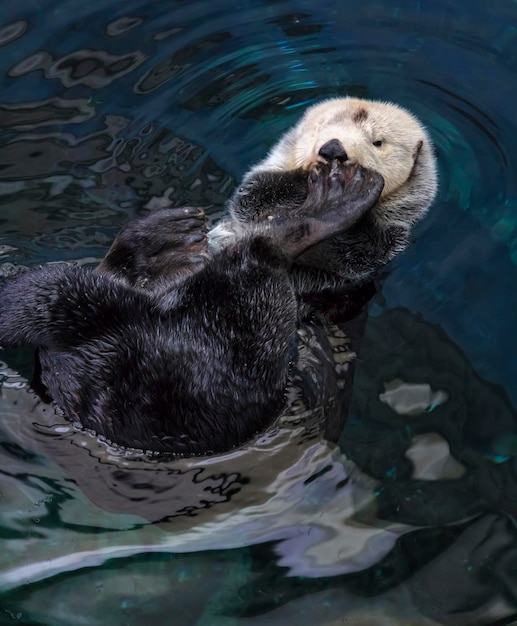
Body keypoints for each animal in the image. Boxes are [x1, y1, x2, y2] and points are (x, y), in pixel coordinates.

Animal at [0, 95, 436, 450]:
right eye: (321, 130)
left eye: (378, 142)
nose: (332, 151)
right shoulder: (257, 191)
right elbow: (255, 194)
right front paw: (306, 180)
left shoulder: (380, 249)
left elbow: (360, 252)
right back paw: (166, 236)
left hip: (224, 371)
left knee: (260, 259)